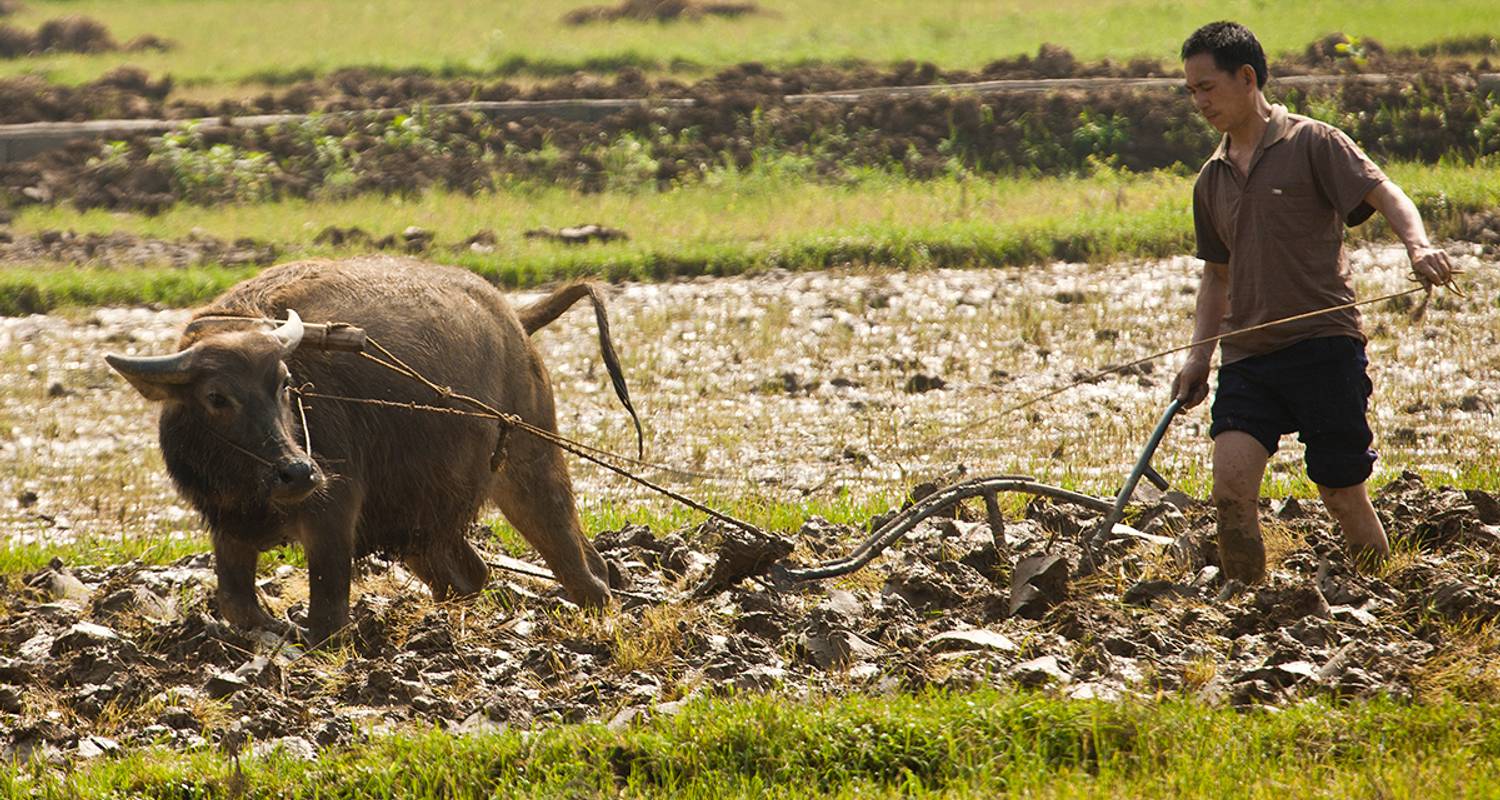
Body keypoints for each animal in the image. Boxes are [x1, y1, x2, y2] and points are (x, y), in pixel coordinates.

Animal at [104, 255, 645, 642]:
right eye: (217, 397)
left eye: (284, 383)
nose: (299, 473)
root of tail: (515, 318)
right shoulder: (228, 524)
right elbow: (238, 605)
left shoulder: (334, 517)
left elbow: (326, 620)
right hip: (424, 517)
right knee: (479, 574)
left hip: (532, 464)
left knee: (583, 575)